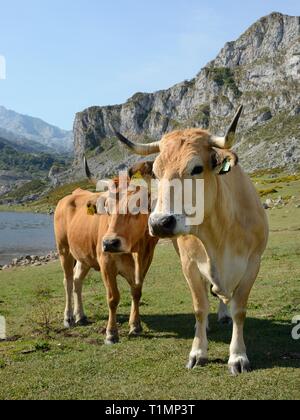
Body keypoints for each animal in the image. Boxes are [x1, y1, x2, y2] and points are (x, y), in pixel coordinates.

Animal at [53, 165, 158, 344]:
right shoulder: (106, 263)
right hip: (64, 250)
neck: (136, 251)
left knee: (77, 280)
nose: (109, 243)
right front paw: (111, 333)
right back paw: (68, 318)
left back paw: (80, 316)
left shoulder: (146, 261)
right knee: (67, 281)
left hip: (84, 256)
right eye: (107, 208)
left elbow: (136, 293)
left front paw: (135, 325)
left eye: (137, 207)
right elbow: (113, 298)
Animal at [113, 106, 268, 374]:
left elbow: (239, 310)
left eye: (196, 168)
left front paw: (237, 356)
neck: (220, 233)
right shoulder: (190, 265)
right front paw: (198, 351)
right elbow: (199, 307)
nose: (160, 223)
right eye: (156, 173)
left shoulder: (253, 264)